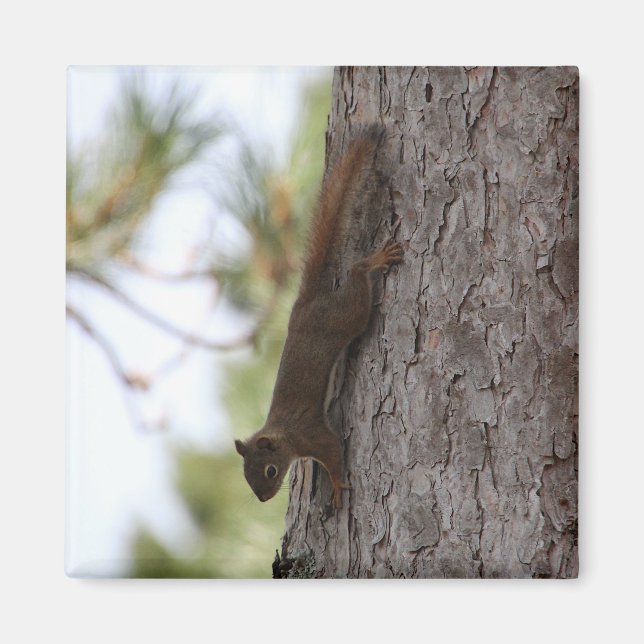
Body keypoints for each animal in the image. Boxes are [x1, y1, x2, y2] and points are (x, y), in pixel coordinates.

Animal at [234, 127, 402, 509]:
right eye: (247, 477)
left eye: (269, 471)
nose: (263, 500)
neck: (284, 435)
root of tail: (304, 303)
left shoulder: (312, 435)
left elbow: (334, 452)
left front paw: (338, 485)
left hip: (347, 315)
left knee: (357, 274)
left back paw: (375, 260)